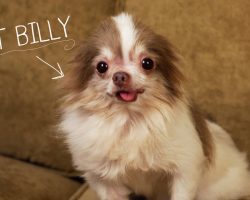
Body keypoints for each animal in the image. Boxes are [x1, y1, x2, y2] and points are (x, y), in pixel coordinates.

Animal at [59, 12, 250, 200]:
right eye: (101, 66)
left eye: (147, 63)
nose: (120, 76)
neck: (129, 120)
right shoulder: (102, 179)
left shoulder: (185, 170)